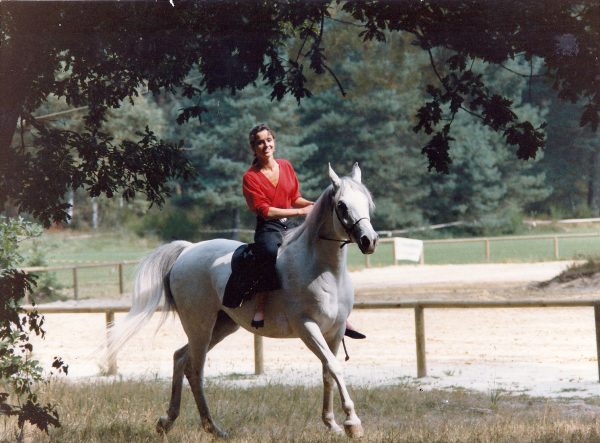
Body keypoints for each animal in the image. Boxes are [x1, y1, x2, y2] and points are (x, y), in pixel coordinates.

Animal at [106, 164, 380, 440]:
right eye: (342, 205)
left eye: (367, 202)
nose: (369, 240)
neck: (322, 270)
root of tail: (187, 251)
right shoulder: (307, 328)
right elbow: (334, 367)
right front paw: (352, 423)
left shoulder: (335, 330)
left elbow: (328, 372)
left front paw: (332, 423)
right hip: (200, 327)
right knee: (195, 370)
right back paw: (212, 427)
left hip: (222, 326)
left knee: (180, 358)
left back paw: (169, 422)